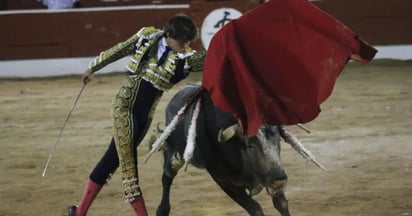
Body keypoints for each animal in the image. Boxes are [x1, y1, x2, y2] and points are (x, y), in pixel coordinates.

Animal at [149, 84, 326, 216]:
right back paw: (162, 209)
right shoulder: (223, 180)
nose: (279, 179)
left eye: (278, 139)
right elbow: (255, 208)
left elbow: (281, 203)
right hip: (173, 156)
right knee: (166, 178)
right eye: (249, 145)